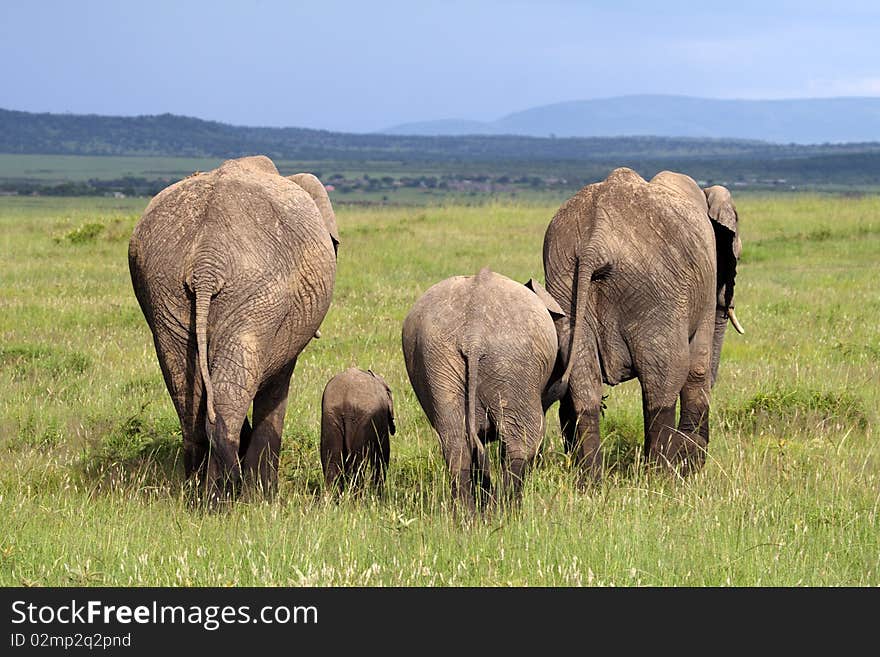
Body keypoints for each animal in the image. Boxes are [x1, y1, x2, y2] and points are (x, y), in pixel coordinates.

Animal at [129, 154, 338, 500]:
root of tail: (205, 262)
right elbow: (278, 383)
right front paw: (265, 493)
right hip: (259, 291)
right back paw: (225, 496)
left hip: (162, 288)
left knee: (188, 397)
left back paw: (200, 497)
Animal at [404, 266, 568, 512]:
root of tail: (474, 334)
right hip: (512, 362)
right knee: (523, 440)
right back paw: (506, 511)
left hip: (436, 359)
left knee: (456, 442)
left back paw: (467, 515)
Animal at [544, 167, 744, 480]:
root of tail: (595, 241)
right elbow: (696, 368)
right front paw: (690, 467)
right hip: (655, 291)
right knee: (664, 379)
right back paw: (660, 477)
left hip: (565, 283)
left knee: (583, 384)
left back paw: (591, 482)